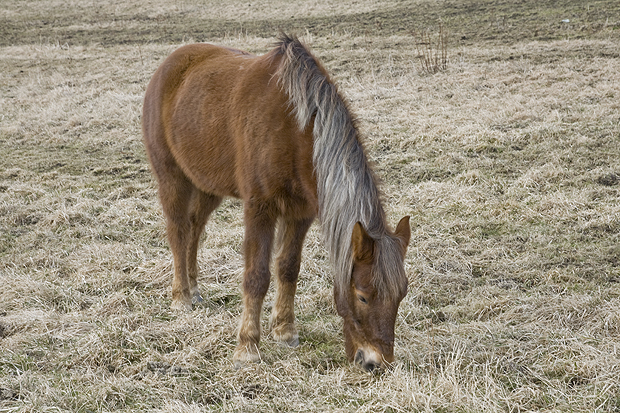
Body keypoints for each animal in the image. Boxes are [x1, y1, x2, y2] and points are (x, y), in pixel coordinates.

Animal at [142, 34, 410, 370]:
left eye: (401, 295)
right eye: (362, 295)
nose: (377, 363)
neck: (295, 130)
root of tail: (169, 64)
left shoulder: (301, 212)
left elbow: (288, 268)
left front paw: (284, 331)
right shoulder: (260, 209)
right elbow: (257, 276)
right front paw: (247, 347)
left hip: (207, 185)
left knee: (194, 228)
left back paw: (194, 288)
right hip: (173, 178)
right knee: (178, 232)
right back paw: (181, 297)